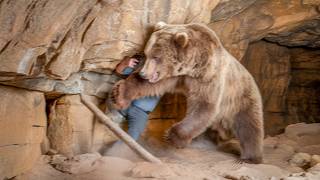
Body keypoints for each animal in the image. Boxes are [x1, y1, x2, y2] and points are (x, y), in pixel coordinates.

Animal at [111, 21, 264, 164]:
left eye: (156, 57)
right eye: (146, 54)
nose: (143, 73)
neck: (193, 67)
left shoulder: (209, 76)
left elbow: (203, 106)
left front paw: (172, 136)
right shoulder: (176, 75)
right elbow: (151, 85)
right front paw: (118, 94)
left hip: (242, 98)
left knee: (249, 126)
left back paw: (249, 158)